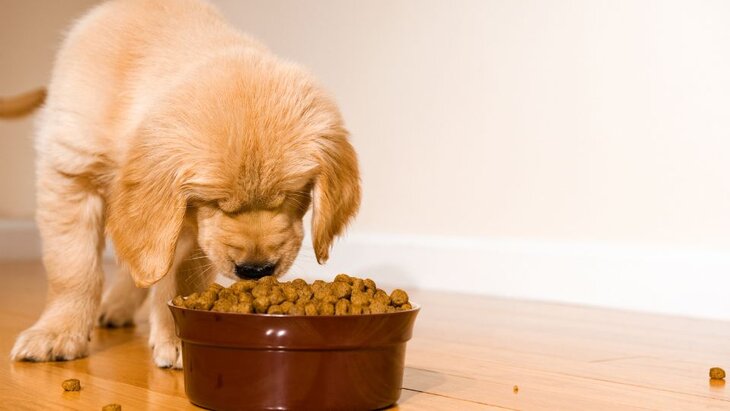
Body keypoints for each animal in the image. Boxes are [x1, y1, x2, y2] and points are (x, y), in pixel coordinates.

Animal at [9, 0, 360, 370]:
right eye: (216, 202)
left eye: (291, 196)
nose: (256, 270)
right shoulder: (70, 172)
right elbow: (73, 268)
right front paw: (57, 332)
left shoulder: (188, 226)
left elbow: (180, 277)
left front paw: (177, 336)